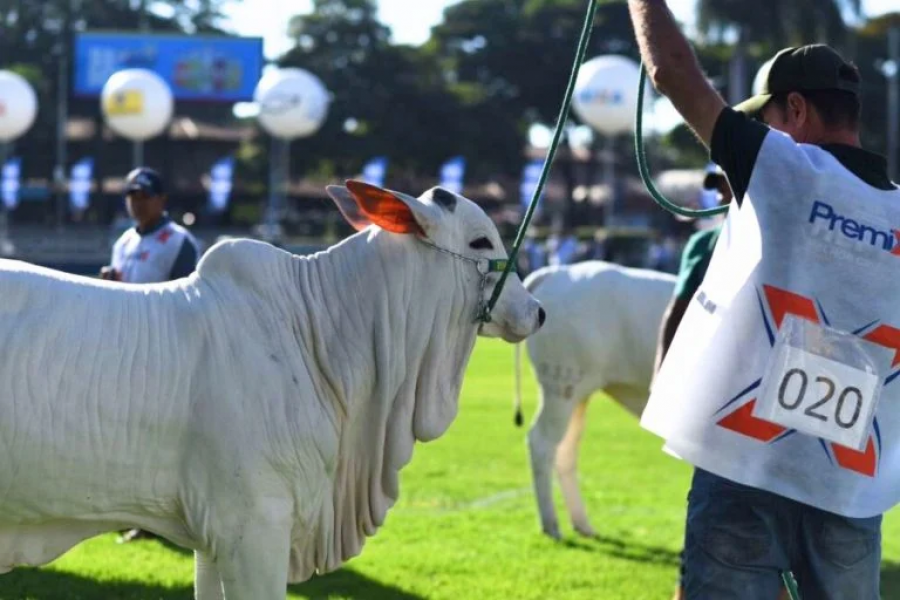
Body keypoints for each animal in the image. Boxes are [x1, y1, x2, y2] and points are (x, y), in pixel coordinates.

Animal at [512, 262, 676, 540]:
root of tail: (558, 271)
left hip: (577, 395)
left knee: (565, 450)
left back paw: (582, 524)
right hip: (562, 387)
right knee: (542, 443)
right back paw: (551, 525)